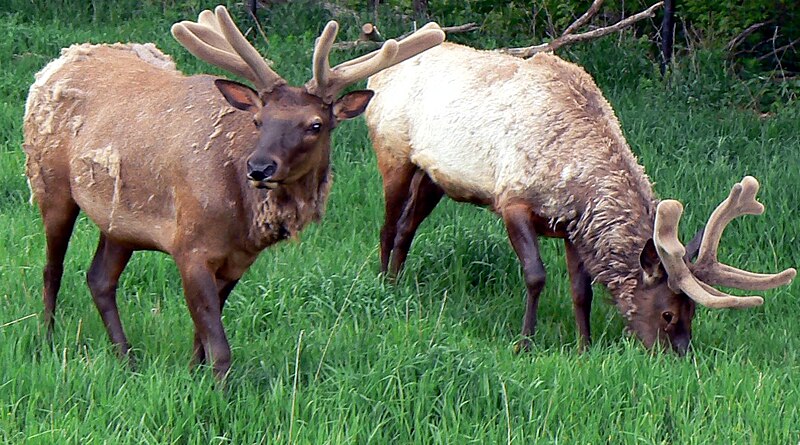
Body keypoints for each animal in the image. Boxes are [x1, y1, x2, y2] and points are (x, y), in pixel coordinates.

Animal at [23, 5, 444, 376]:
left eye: (315, 125)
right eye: (258, 120)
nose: (259, 168)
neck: (244, 216)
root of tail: (53, 65)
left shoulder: (237, 259)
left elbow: (202, 339)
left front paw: (193, 377)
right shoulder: (189, 247)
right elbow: (219, 347)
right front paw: (217, 394)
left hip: (119, 222)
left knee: (99, 278)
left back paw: (127, 359)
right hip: (50, 185)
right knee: (52, 268)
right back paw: (46, 338)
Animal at [366, 41, 796, 354]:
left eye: (693, 312)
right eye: (668, 314)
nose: (681, 355)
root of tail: (381, 76)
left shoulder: (573, 226)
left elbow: (581, 291)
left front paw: (584, 346)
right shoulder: (512, 200)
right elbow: (536, 275)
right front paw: (525, 343)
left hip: (432, 176)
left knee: (406, 227)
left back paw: (397, 282)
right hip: (392, 152)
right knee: (387, 225)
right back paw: (382, 285)